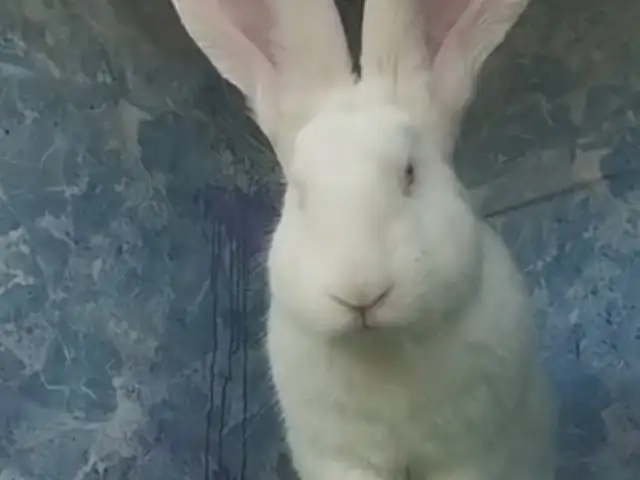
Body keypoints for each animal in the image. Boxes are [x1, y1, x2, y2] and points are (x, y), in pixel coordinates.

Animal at [169, 0, 557, 479]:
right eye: (298, 193)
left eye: (410, 173)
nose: (359, 292)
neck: (382, 348)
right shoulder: (338, 457)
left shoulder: (473, 451)